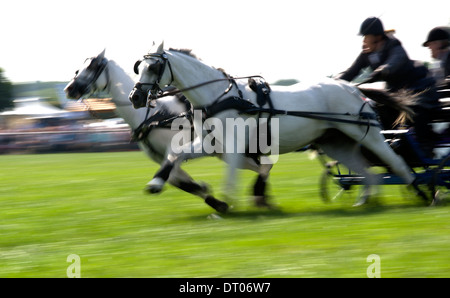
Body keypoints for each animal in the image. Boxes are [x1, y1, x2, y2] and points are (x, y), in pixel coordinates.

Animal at [130, 41, 426, 205]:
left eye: (153, 67)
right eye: (139, 67)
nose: (135, 97)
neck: (219, 96)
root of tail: (353, 88)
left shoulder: (233, 146)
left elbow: (231, 176)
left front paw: (227, 204)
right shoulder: (211, 144)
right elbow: (175, 153)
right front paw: (156, 183)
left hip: (368, 136)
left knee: (397, 163)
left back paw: (424, 195)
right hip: (335, 142)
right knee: (368, 173)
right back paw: (364, 203)